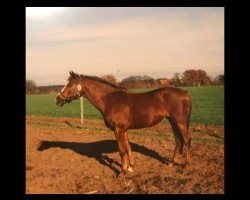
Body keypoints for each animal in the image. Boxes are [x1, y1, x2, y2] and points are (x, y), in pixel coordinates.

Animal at [55, 71, 191, 175]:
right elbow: (127, 147)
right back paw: (171, 164)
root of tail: (185, 93)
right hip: (173, 122)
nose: (58, 99)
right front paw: (131, 167)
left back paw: (185, 166)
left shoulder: (118, 129)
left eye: (71, 84)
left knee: (187, 140)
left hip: (180, 123)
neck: (110, 100)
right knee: (178, 141)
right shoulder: (124, 129)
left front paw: (122, 171)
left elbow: (121, 150)